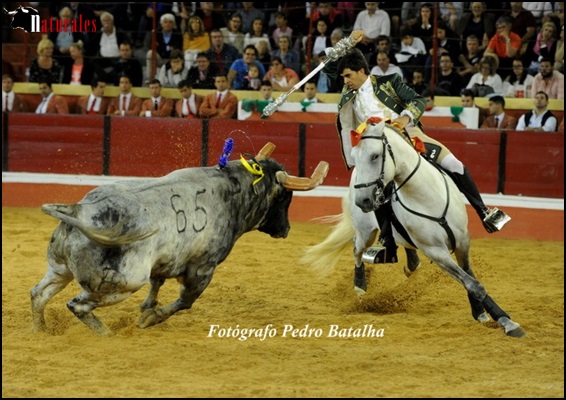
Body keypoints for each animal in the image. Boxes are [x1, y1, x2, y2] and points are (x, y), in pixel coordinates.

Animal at [31, 143, 329, 336]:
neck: (231, 191)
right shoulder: (203, 268)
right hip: (122, 283)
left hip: (59, 268)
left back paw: (40, 331)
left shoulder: (167, 260)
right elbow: (186, 301)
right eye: (284, 197)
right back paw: (106, 335)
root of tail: (81, 211)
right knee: (77, 305)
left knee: (38, 293)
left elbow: (157, 284)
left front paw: (147, 309)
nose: (285, 229)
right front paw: (150, 318)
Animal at [302, 120, 526, 338]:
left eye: (375, 156)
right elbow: (472, 283)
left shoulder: (463, 241)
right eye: (354, 158)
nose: (362, 201)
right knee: (357, 250)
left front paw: (481, 313)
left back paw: (410, 264)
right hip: (366, 232)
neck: (426, 195)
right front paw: (507, 323)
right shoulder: (435, 251)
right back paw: (360, 286)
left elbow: (470, 276)